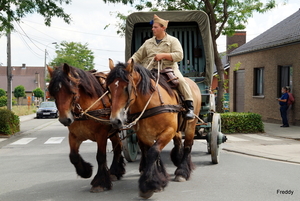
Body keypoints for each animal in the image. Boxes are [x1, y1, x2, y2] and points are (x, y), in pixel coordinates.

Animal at [47, 64, 125, 193]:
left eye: (72, 92)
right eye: (53, 93)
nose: (65, 120)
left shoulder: (102, 134)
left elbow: (100, 157)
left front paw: (100, 182)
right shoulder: (74, 135)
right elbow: (73, 156)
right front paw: (86, 171)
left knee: (118, 147)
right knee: (118, 146)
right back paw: (115, 171)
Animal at [106, 59, 200, 198]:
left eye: (126, 87)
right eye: (109, 89)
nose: (115, 120)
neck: (150, 103)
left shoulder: (168, 131)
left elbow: (153, 152)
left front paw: (149, 184)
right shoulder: (144, 134)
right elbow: (153, 152)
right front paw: (160, 176)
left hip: (191, 125)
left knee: (188, 145)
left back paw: (182, 171)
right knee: (178, 142)